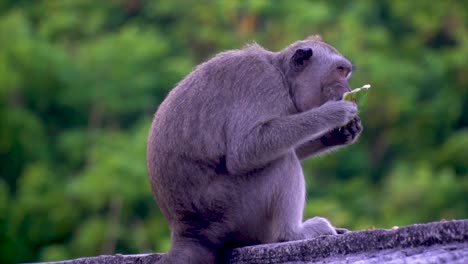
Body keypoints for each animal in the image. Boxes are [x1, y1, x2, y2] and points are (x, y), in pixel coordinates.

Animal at [146, 35, 362, 264]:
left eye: (345, 72)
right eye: (339, 70)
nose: (348, 88)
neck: (282, 76)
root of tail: (188, 231)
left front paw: (341, 134)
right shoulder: (263, 83)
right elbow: (245, 151)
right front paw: (333, 113)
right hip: (233, 210)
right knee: (281, 161)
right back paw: (293, 233)